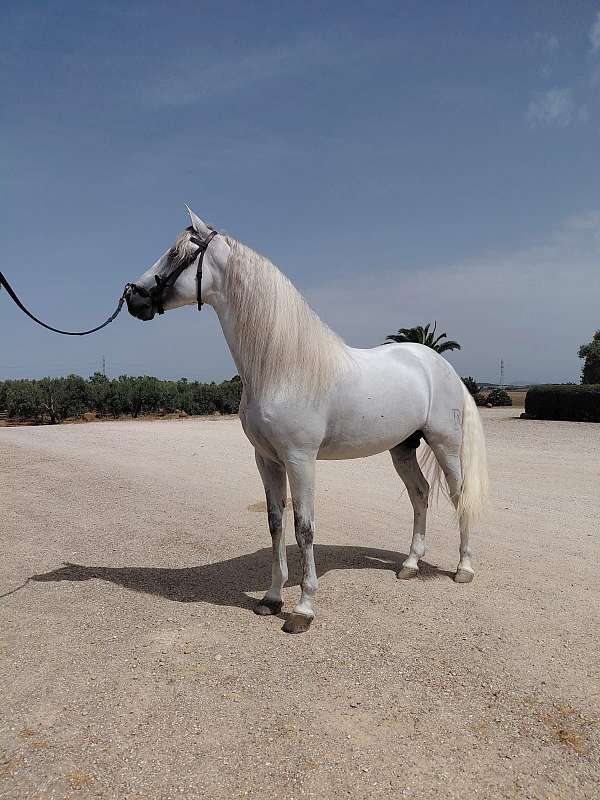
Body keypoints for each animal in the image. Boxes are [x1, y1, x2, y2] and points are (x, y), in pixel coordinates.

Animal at [125, 208, 488, 634]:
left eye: (175, 253)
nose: (132, 296)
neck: (281, 367)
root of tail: (441, 365)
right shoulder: (266, 459)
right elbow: (276, 524)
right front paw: (271, 598)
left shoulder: (300, 459)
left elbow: (304, 528)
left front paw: (303, 609)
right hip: (402, 448)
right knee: (420, 493)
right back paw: (410, 564)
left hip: (445, 444)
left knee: (459, 495)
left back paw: (464, 568)